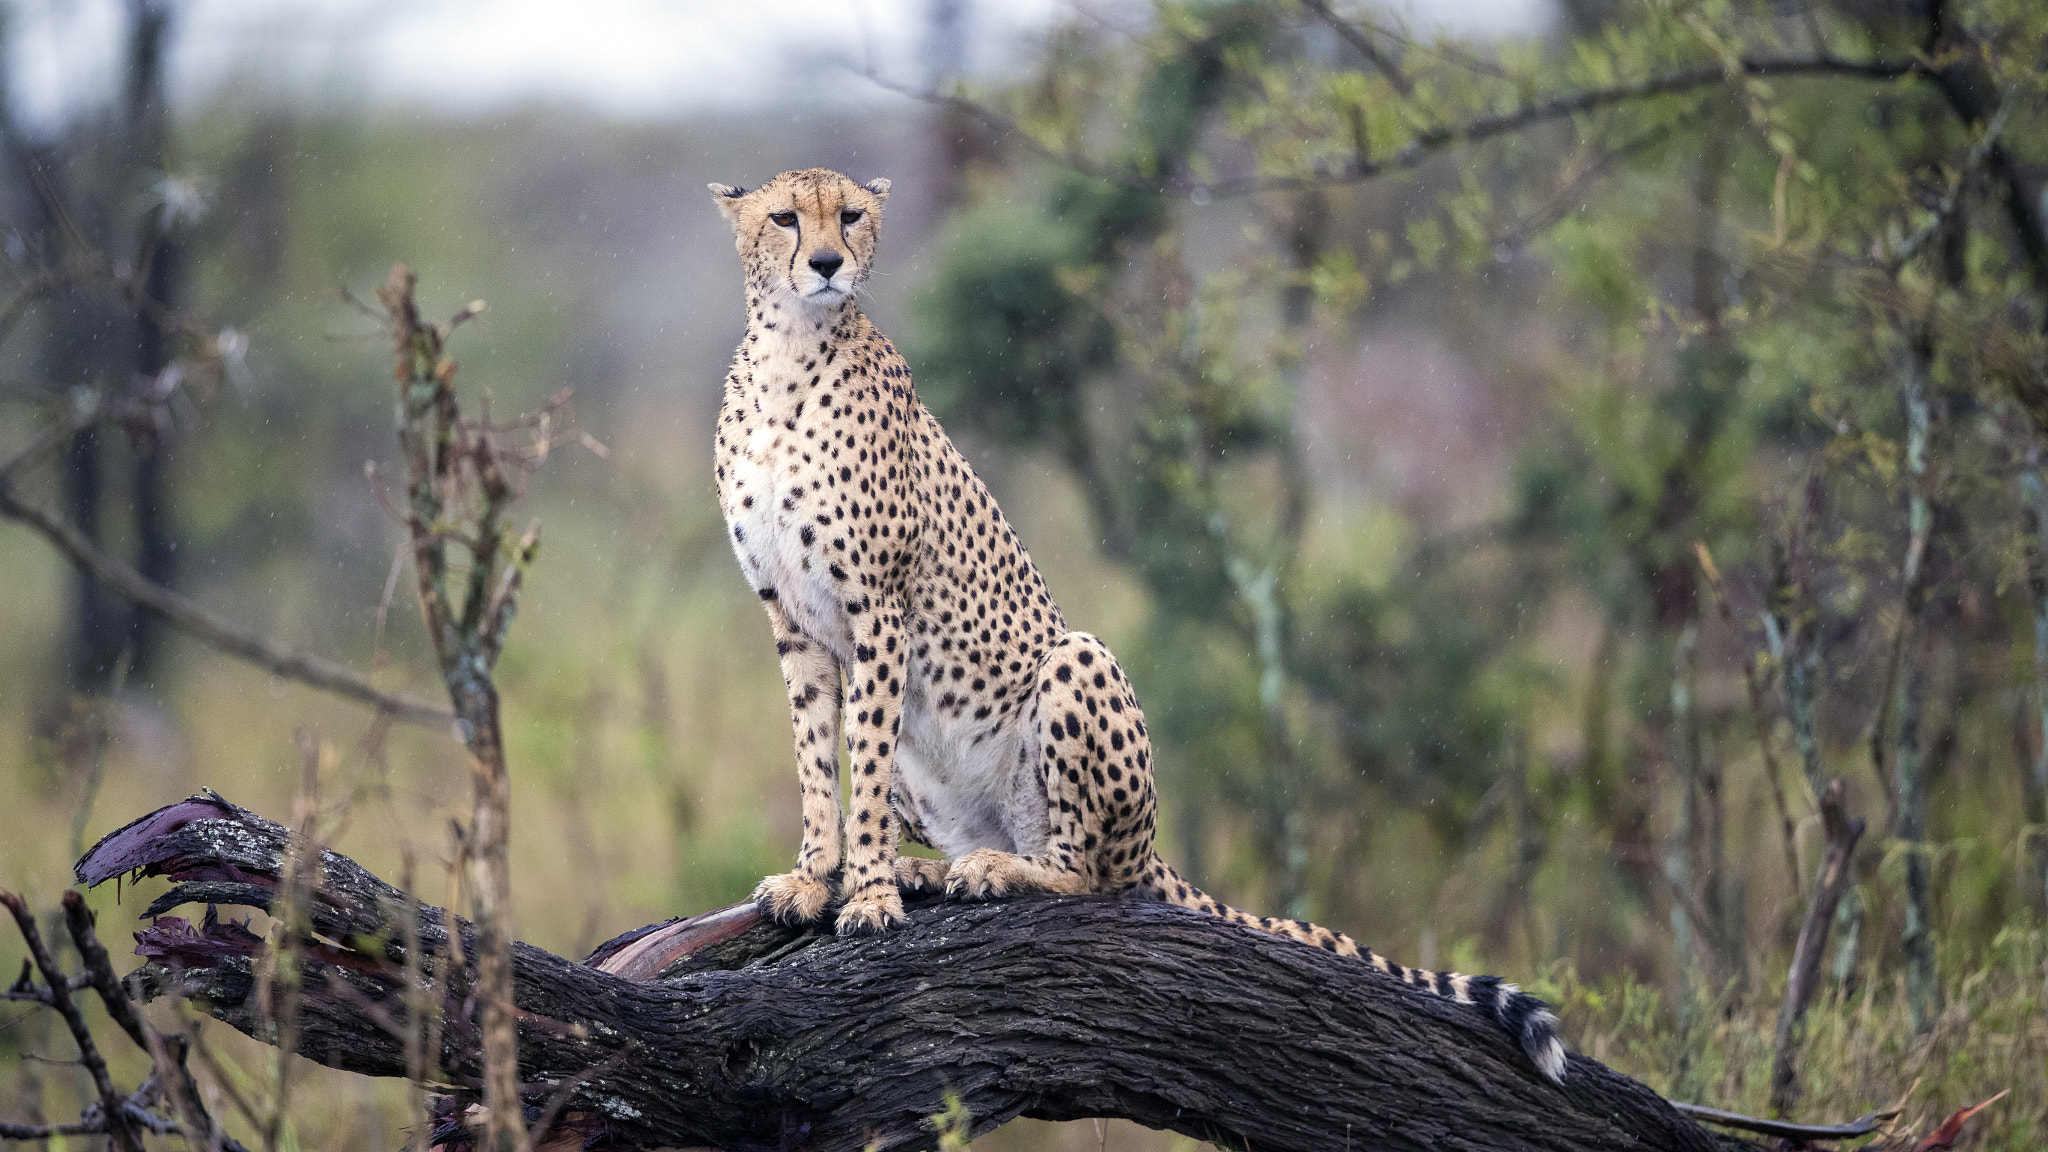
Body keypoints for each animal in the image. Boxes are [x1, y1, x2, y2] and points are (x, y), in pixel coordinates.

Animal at [712, 168, 1556, 1074]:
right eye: (785, 218)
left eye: (853, 216)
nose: (827, 263)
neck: (789, 353)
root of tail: (1151, 844)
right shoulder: (794, 623)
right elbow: (816, 760)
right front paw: (813, 878)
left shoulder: (879, 610)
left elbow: (861, 765)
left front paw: (865, 892)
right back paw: (939, 869)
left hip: (1075, 660)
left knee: (1088, 873)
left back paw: (994, 873)